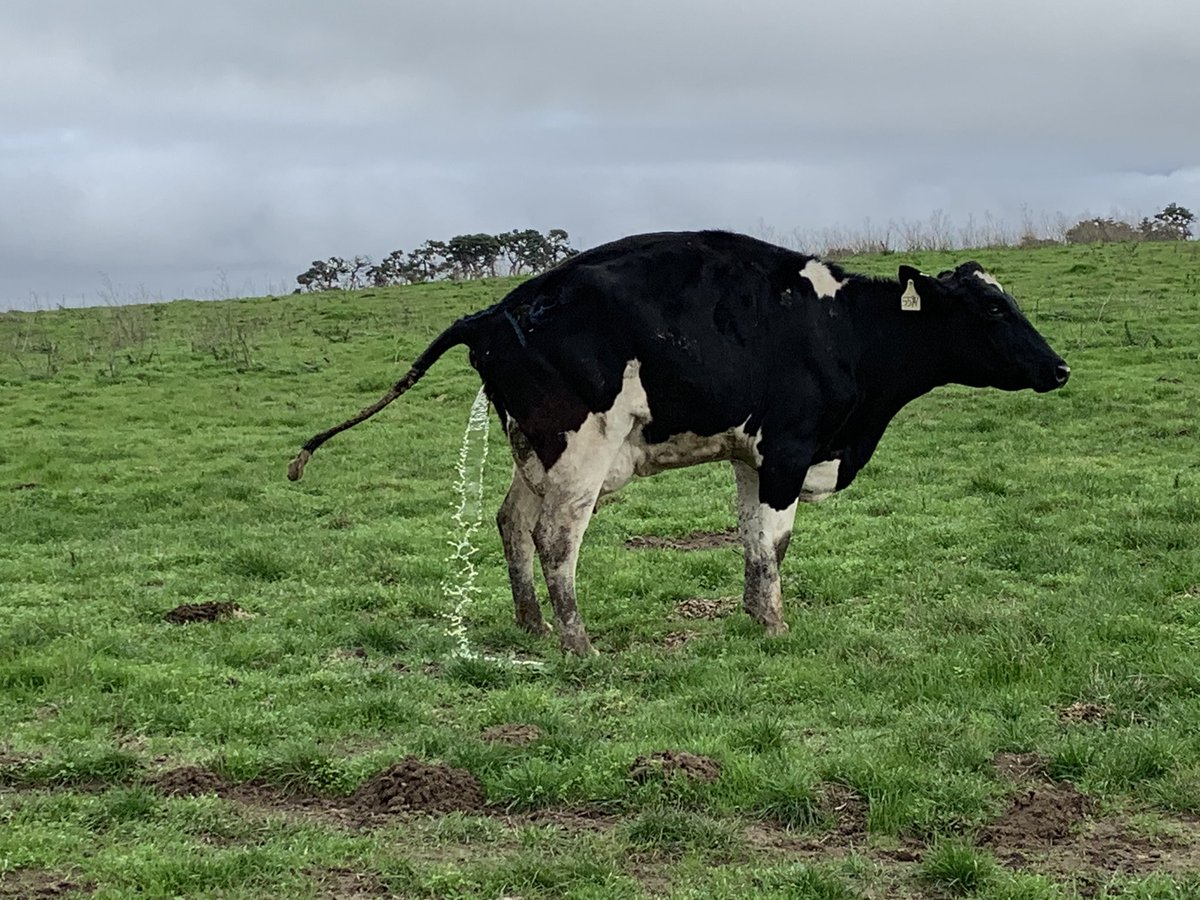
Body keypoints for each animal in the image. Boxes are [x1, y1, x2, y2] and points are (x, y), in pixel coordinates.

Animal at [288, 231, 1069, 656]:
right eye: (992, 308)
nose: (1059, 368)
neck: (841, 329)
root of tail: (496, 308)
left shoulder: (754, 455)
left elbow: (758, 540)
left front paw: (754, 615)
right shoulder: (788, 450)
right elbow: (771, 540)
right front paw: (775, 625)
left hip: (531, 448)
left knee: (511, 523)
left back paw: (532, 626)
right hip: (581, 450)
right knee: (554, 538)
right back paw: (577, 642)